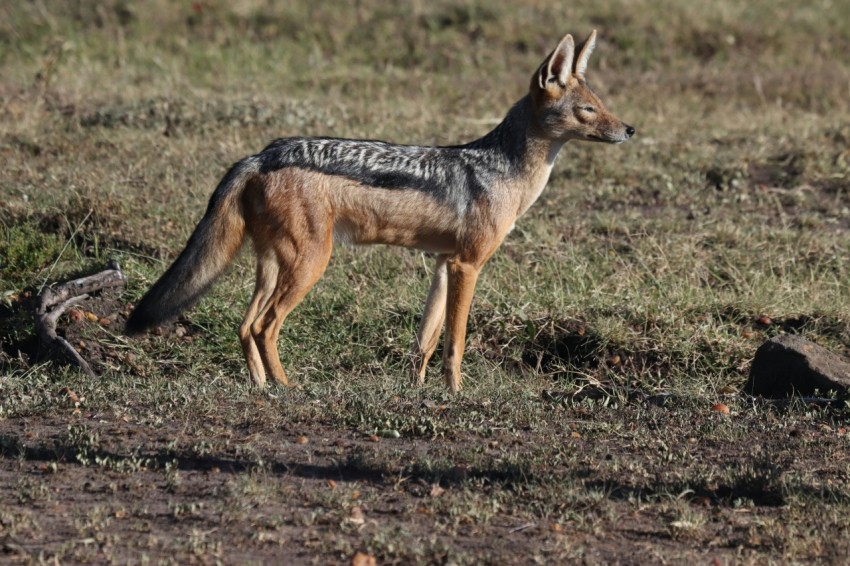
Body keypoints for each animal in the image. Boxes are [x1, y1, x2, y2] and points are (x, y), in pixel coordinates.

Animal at [126, 30, 634, 392]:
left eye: (603, 105)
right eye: (589, 110)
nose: (629, 129)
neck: (504, 171)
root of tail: (262, 153)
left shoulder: (443, 265)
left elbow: (425, 342)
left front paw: (418, 392)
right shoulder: (468, 265)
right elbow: (455, 343)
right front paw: (457, 394)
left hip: (273, 267)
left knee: (246, 324)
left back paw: (261, 387)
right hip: (309, 266)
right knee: (266, 326)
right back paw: (288, 387)